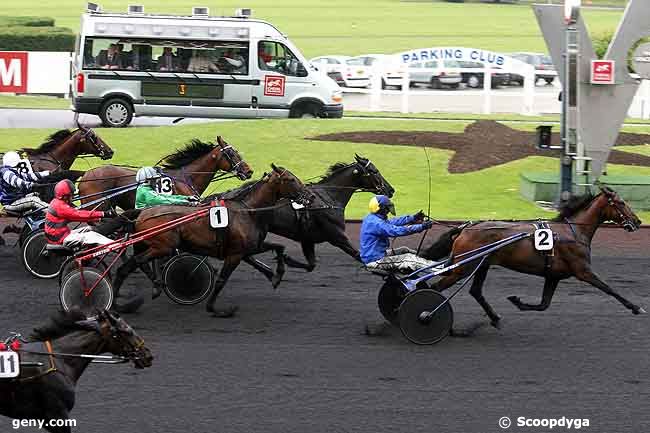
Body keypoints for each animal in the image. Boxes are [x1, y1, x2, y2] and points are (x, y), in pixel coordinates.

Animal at [112, 164, 316, 316]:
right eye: (290, 179)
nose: (311, 196)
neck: (247, 210)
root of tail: (141, 213)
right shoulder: (235, 254)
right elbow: (221, 280)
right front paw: (215, 309)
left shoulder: (248, 247)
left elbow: (278, 248)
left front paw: (277, 275)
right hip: (163, 247)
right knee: (133, 264)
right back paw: (128, 298)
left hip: (145, 245)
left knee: (129, 266)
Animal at [242, 152, 392, 276]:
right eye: (374, 171)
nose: (390, 189)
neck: (328, 198)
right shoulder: (338, 237)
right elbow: (358, 255)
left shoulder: (308, 239)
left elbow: (311, 265)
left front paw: (287, 258)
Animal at [426, 186, 644, 328]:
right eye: (621, 203)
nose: (638, 221)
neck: (573, 232)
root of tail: (465, 228)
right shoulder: (583, 271)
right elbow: (609, 288)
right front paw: (636, 307)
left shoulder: (554, 276)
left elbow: (543, 304)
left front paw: (517, 301)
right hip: (464, 268)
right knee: (435, 288)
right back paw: (429, 315)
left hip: (481, 265)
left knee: (475, 291)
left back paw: (495, 318)